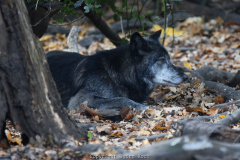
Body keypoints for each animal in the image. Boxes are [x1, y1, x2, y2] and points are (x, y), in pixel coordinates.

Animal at [47, 30, 188, 110]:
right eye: (162, 60)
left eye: (168, 58)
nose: (186, 77)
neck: (118, 74)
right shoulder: (78, 101)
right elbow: (122, 99)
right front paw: (144, 107)